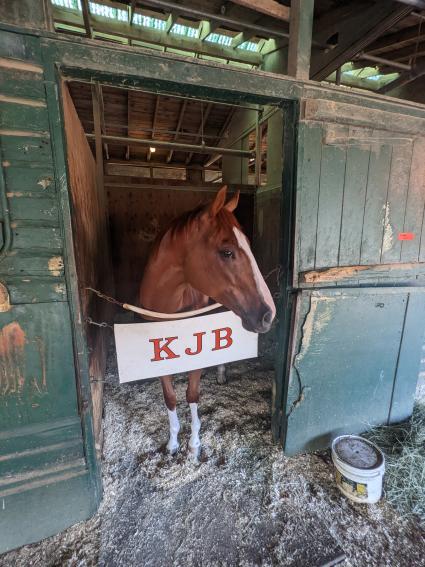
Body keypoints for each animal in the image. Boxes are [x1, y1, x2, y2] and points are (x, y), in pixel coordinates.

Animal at [139, 186, 274, 458]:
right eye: (227, 251)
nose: (268, 314)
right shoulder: (159, 355)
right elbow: (170, 397)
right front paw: (173, 443)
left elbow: (192, 394)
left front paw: (194, 444)